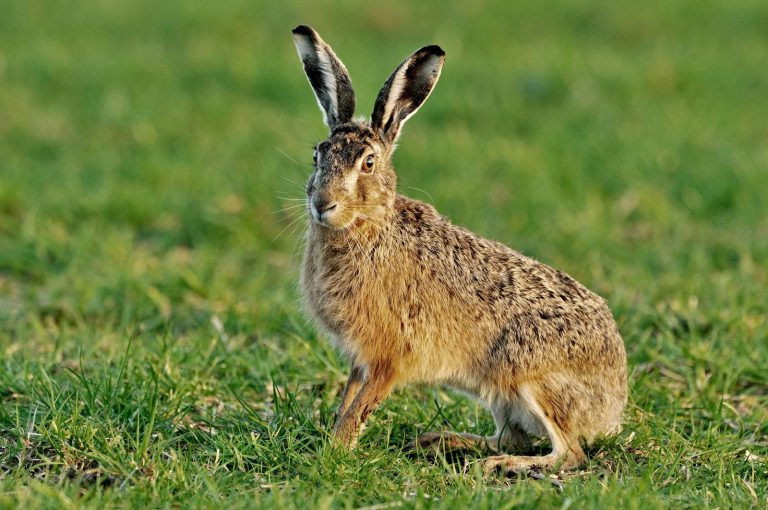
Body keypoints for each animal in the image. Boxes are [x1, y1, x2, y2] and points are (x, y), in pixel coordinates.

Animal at [291, 25, 627, 475]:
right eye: (317, 155)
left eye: (368, 163)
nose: (322, 203)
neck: (369, 227)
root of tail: (614, 402)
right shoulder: (360, 358)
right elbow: (348, 401)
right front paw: (332, 443)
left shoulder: (389, 355)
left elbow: (359, 408)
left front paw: (334, 452)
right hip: (501, 395)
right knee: (515, 436)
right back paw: (439, 441)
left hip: (530, 376)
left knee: (567, 452)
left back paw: (497, 464)